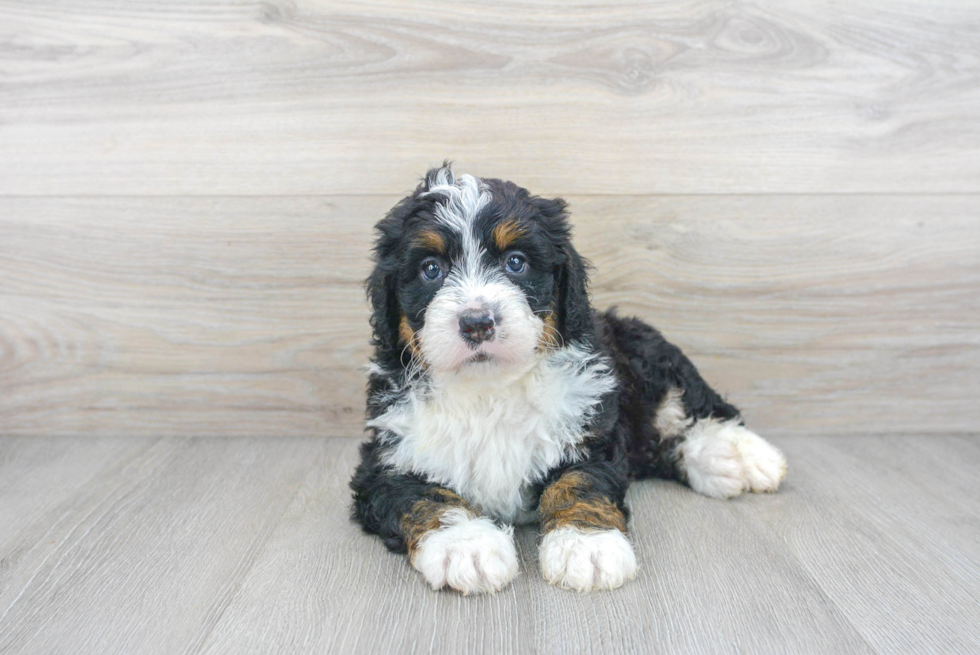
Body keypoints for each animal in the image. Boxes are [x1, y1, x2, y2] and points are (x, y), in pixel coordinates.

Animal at [348, 164, 784, 596]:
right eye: (431, 270)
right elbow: (422, 496)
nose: (477, 323)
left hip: (647, 350)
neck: (491, 389)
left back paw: (742, 456)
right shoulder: (387, 457)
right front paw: (467, 546)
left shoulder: (592, 428)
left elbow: (579, 480)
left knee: (693, 408)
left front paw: (587, 545)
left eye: (516, 263)